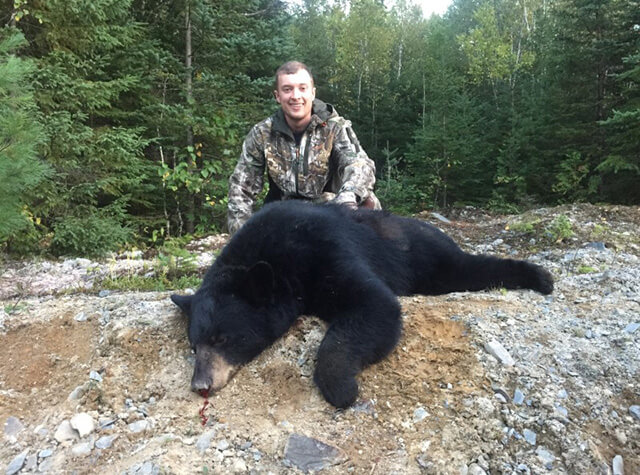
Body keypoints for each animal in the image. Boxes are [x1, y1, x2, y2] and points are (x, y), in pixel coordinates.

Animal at [170, 201, 552, 410]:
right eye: (194, 345)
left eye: (222, 338)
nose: (200, 384)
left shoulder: (326, 249)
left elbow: (375, 305)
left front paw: (341, 387)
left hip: (424, 255)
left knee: (466, 268)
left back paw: (540, 277)